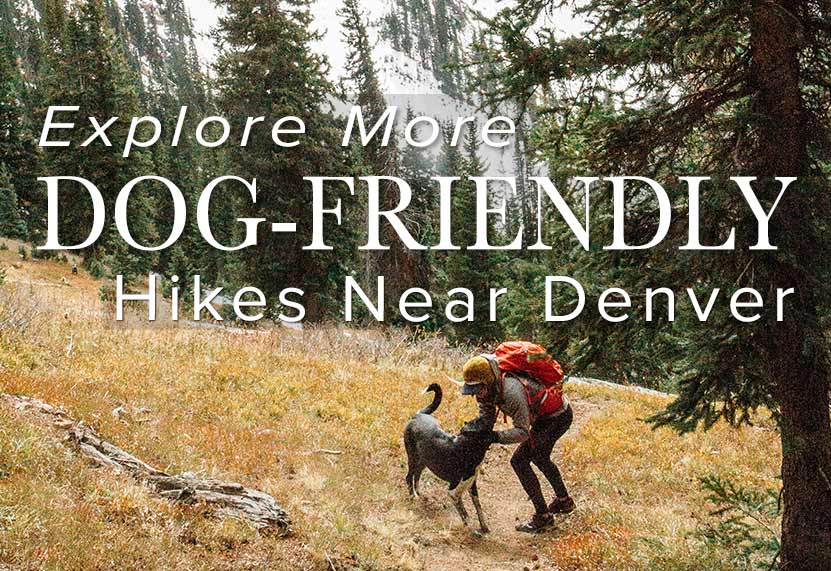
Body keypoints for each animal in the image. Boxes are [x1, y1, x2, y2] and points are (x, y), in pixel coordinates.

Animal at [404, 382, 494, 536]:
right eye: (479, 421)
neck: (468, 446)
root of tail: (418, 415)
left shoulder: (471, 485)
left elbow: (478, 508)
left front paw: (484, 527)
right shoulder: (453, 492)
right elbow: (466, 515)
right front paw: (471, 530)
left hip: (424, 460)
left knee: (416, 476)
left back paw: (420, 494)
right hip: (413, 458)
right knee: (409, 477)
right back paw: (413, 497)